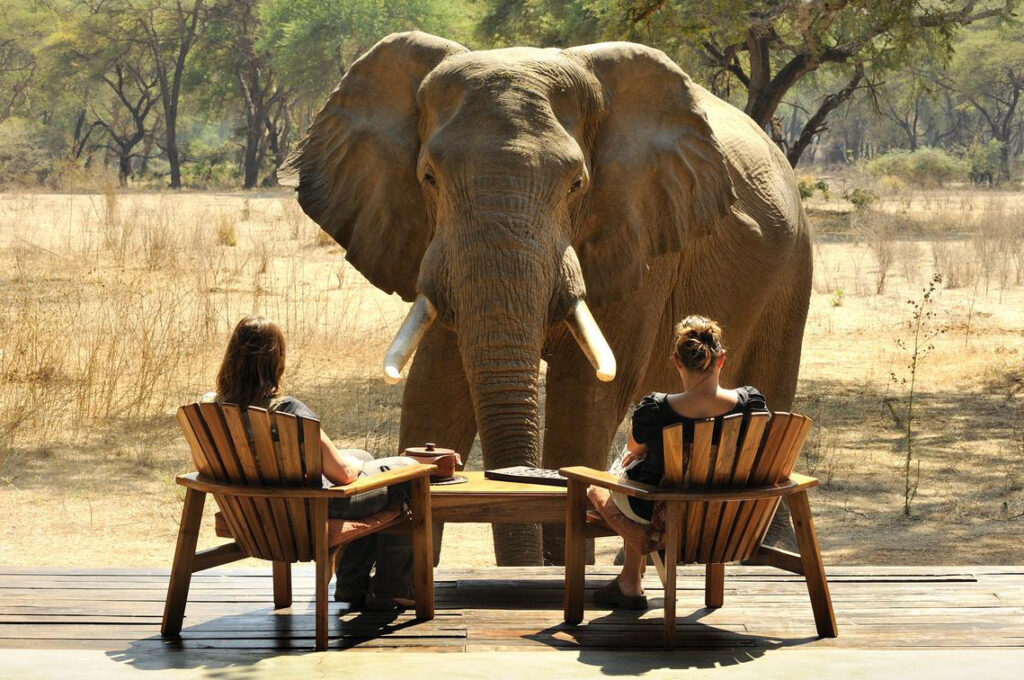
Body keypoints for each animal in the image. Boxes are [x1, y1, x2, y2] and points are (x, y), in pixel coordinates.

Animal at [280, 31, 812, 566]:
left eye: (576, 184)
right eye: (429, 178)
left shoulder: (637, 230)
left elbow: (587, 395)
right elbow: (436, 384)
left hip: (794, 265)